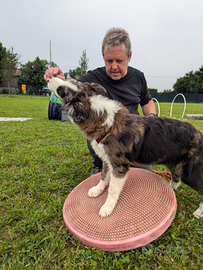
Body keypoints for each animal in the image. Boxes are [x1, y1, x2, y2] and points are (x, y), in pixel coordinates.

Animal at [47, 75, 203, 217]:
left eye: (61, 91)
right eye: (69, 80)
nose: (48, 78)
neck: (106, 123)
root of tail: (198, 133)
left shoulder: (119, 166)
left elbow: (112, 189)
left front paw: (107, 207)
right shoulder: (107, 160)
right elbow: (103, 177)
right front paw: (97, 190)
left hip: (190, 171)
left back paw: (199, 212)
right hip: (174, 163)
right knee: (176, 178)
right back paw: (170, 189)